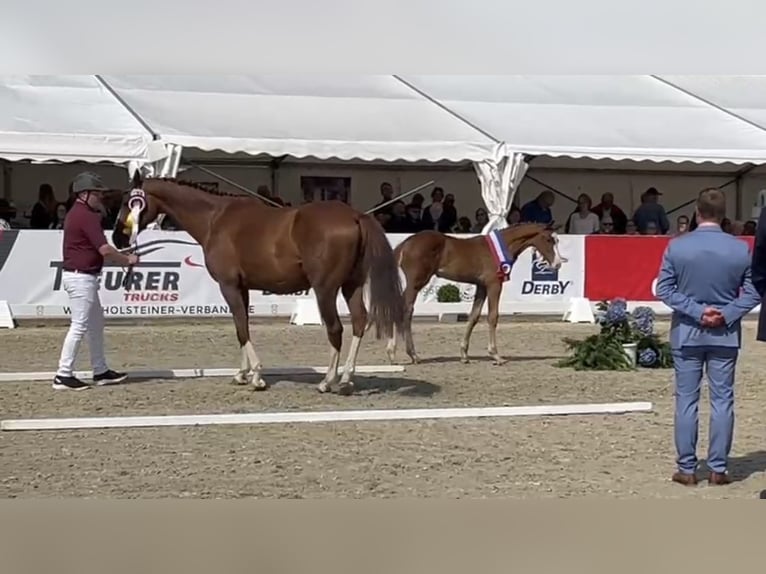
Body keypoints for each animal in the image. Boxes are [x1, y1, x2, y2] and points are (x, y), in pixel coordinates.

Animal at [112, 172, 408, 396]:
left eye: (129, 201)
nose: (117, 238)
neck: (215, 218)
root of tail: (355, 216)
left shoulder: (229, 286)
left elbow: (241, 329)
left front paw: (256, 377)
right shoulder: (242, 288)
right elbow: (242, 324)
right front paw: (241, 374)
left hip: (325, 289)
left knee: (335, 329)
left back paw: (327, 381)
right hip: (351, 286)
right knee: (360, 321)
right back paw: (346, 379)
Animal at [390, 224, 564, 364]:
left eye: (557, 241)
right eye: (548, 239)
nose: (558, 264)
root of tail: (405, 244)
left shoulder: (481, 286)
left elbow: (474, 316)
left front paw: (464, 354)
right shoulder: (494, 284)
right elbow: (493, 316)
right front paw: (496, 355)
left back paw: (395, 353)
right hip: (416, 283)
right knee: (406, 310)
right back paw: (409, 355)